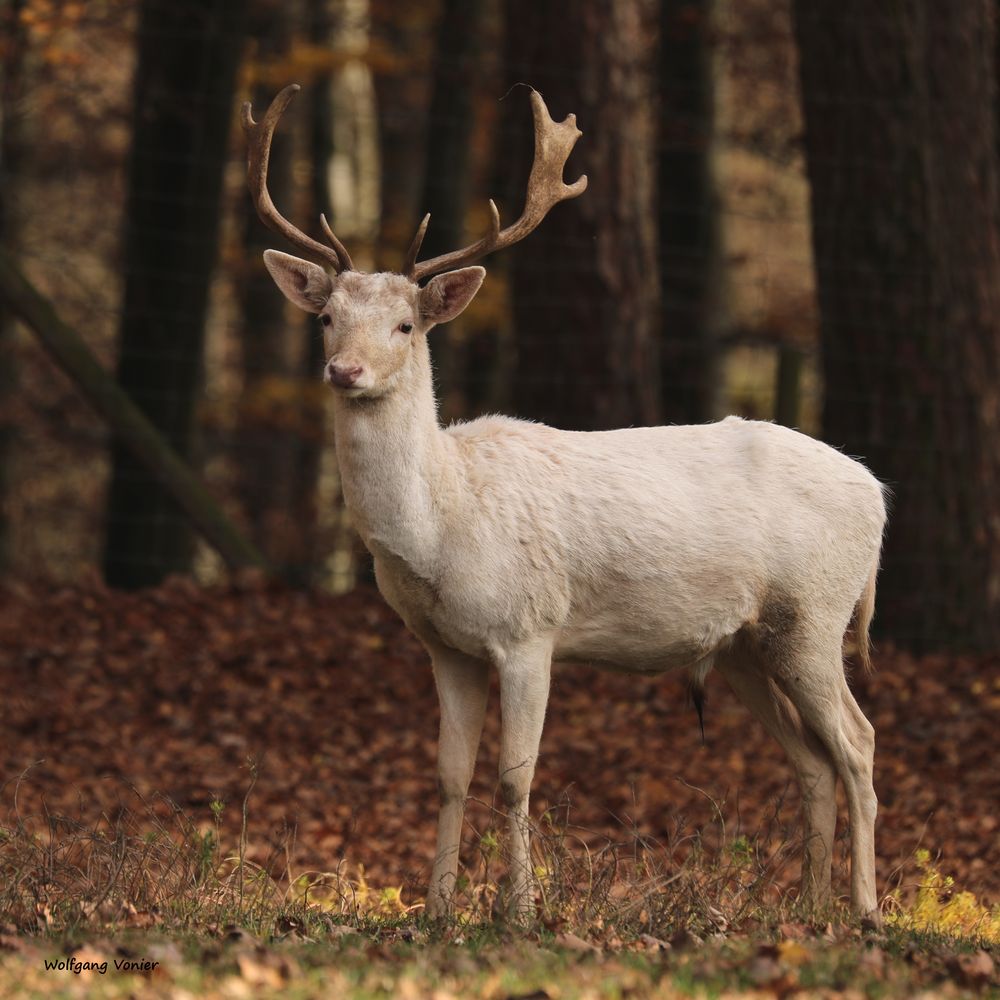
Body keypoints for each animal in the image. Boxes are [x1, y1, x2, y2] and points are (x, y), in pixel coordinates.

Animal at [246, 86, 888, 920]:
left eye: (406, 324)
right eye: (327, 318)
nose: (343, 370)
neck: (444, 528)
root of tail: (879, 493)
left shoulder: (529, 629)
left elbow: (514, 779)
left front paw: (517, 909)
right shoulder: (445, 646)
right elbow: (449, 775)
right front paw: (437, 908)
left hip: (815, 613)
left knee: (859, 742)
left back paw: (865, 908)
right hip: (746, 644)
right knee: (812, 760)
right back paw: (808, 907)